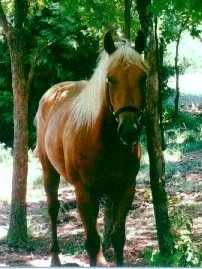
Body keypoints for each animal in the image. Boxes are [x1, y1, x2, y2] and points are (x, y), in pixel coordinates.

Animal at [35, 31, 148, 266]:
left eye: (143, 78)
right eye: (110, 79)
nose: (129, 130)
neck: (104, 141)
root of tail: (52, 93)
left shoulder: (125, 189)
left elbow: (117, 238)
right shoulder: (84, 192)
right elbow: (93, 242)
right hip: (49, 171)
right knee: (53, 209)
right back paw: (55, 257)